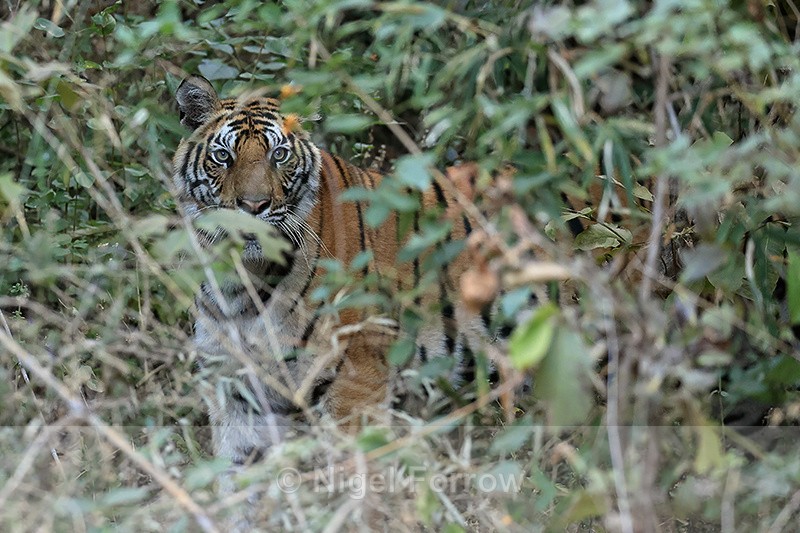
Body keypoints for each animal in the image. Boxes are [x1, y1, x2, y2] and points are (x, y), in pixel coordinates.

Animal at [172, 76, 483, 467]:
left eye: (279, 155)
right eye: (223, 156)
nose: (254, 205)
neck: (244, 279)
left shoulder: (357, 379)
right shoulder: (236, 385)